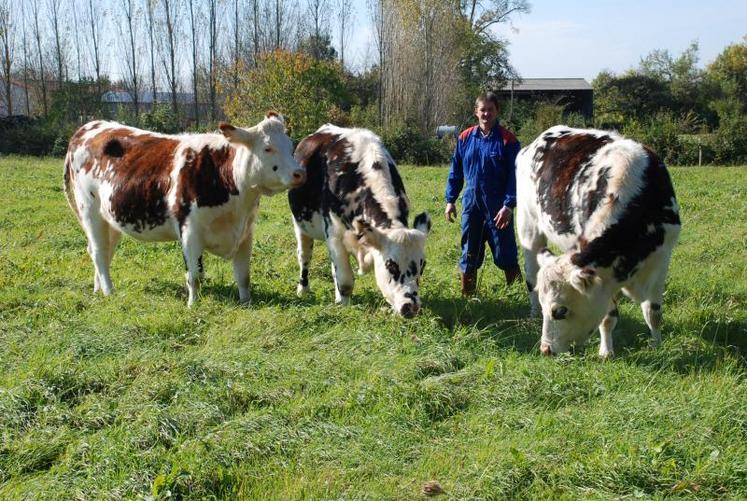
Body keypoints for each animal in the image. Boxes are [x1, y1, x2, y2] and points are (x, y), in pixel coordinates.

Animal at [62, 113, 306, 304]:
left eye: (290, 146)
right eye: (268, 148)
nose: (299, 173)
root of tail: (88, 127)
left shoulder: (246, 232)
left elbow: (243, 274)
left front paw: (246, 303)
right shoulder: (189, 231)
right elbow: (194, 275)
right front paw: (193, 305)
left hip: (110, 217)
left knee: (102, 251)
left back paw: (98, 290)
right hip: (90, 211)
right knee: (99, 252)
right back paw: (109, 292)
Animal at [290, 123, 432, 316]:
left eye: (422, 265)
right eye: (390, 265)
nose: (411, 306)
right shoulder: (334, 233)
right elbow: (345, 280)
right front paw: (343, 306)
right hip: (300, 225)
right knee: (304, 256)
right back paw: (303, 289)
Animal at [516, 127, 680, 358]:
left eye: (560, 311)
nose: (546, 349)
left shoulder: (662, 259)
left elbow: (653, 312)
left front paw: (657, 346)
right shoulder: (603, 276)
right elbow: (608, 317)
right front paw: (606, 352)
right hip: (528, 228)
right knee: (531, 276)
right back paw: (533, 313)